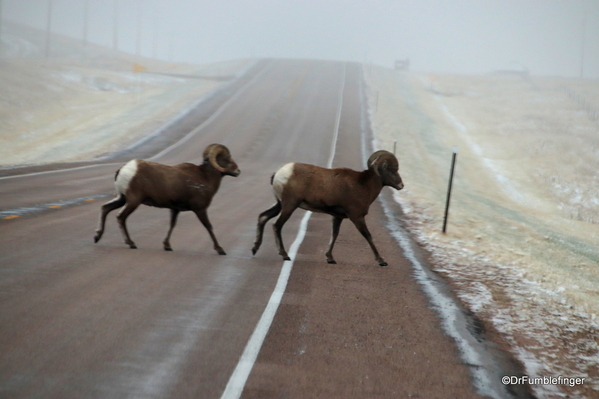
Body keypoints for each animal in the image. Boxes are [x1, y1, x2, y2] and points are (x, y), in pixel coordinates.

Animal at [94, 145, 239, 255]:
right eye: (226, 159)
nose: (238, 171)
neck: (205, 178)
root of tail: (124, 170)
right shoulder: (200, 209)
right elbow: (209, 227)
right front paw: (220, 250)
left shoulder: (175, 209)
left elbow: (172, 225)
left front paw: (167, 246)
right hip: (133, 201)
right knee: (121, 217)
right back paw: (131, 243)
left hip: (122, 199)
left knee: (105, 208)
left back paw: (97, 237)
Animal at [251, 152, 406, 268]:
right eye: (393, 170)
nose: (401, 186)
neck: (364, 186)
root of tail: (279, 174)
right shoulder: (357, 217)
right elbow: (368, 236)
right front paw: (381, 261)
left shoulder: (337, 217)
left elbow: (334, 235)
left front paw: (330, 258)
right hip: (289, 206)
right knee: (276, 225)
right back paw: (285, 255)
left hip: (280, 205)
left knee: (263, 217)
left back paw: (255, 249)